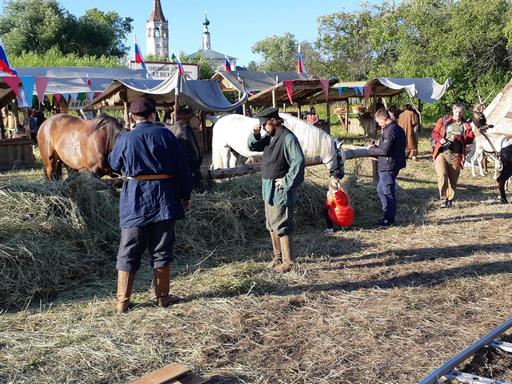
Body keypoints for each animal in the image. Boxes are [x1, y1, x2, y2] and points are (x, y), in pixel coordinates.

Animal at [210, 112, 346, 178]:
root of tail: (219, 120)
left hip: (235, 151)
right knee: (226, 166)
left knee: (233, 166)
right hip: (224, 149)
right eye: (339, 157)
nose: (341, 175)